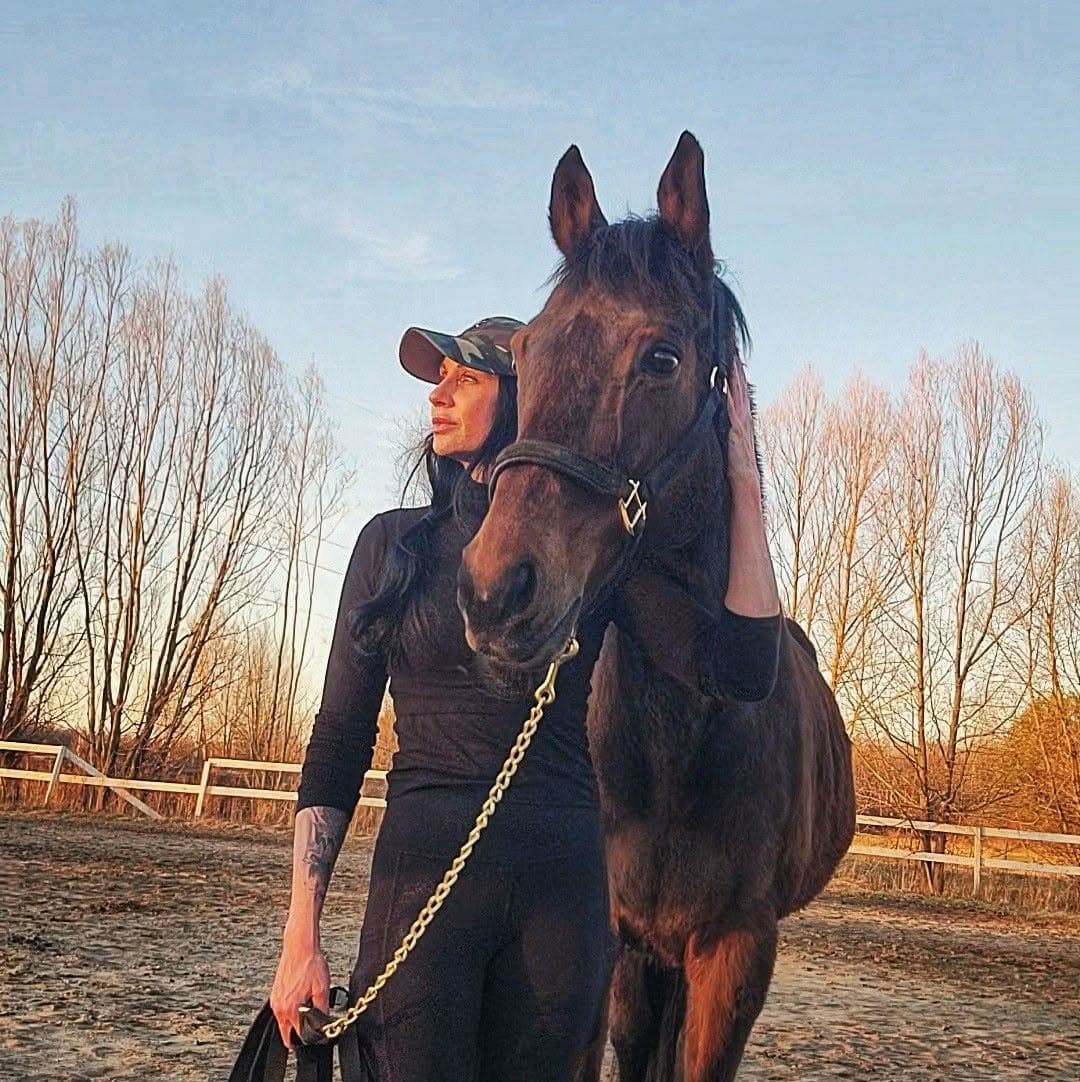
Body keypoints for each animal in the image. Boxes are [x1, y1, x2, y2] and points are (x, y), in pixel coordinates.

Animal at [458, 132, 855, 1080]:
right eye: (527, 353)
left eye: (664, 358)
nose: (493, 588)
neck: (682, 734)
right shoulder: (609, 945)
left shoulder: (738, 952)